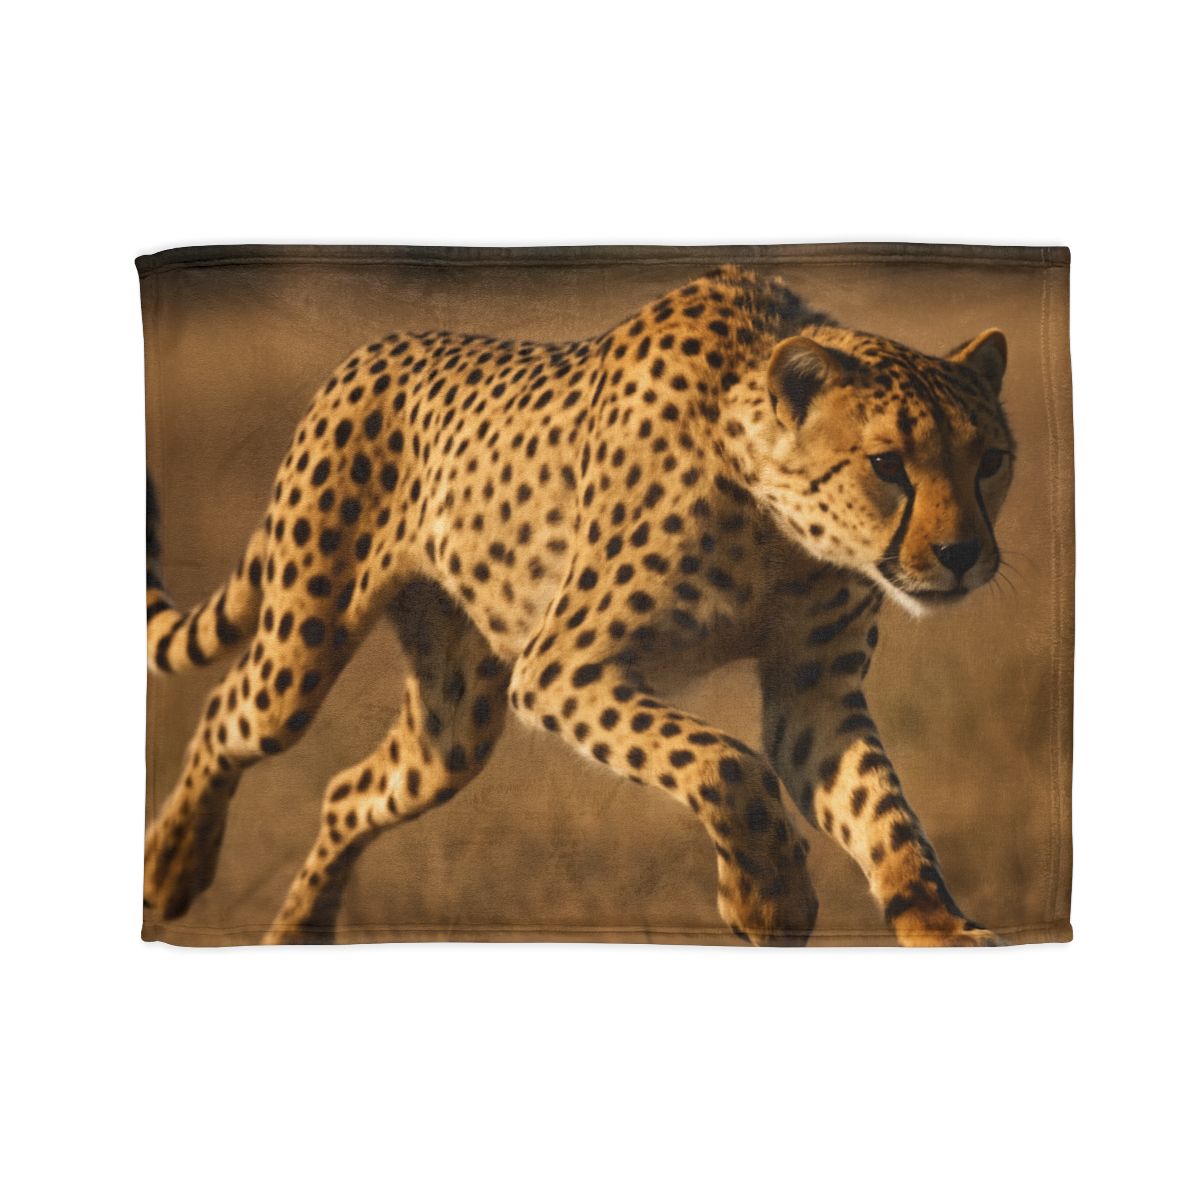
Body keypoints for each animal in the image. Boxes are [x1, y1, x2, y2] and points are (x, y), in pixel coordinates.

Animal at [144, 264, 1014, 946]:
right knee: (227, 713)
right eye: (887, 464)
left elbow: (883, 811)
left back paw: (301, 929)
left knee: (349, 791)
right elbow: (728, 762)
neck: (779, 527)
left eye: (992, 460)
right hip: (304, 642)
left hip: (454, 723)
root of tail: (372, 349)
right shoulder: (564, 666)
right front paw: (769, 898)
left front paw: (939, 926)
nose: (962, 555)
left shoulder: (815, 695)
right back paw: (172, 866)